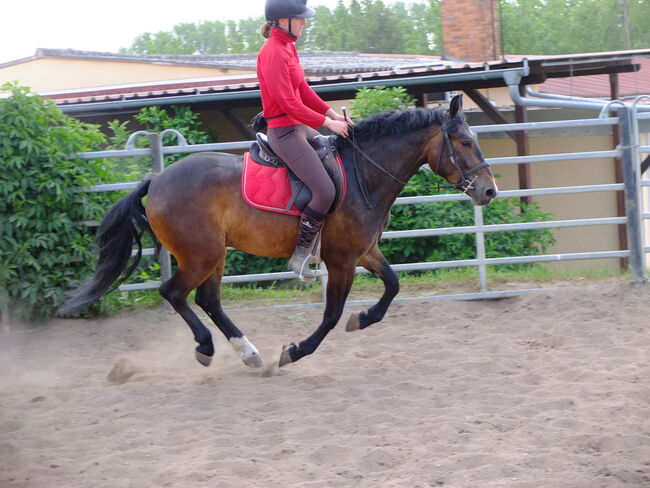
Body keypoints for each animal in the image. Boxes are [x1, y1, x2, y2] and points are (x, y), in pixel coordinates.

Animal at [59, 94, 496, 370]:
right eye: (464, 142)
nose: (489, 191)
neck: (364, 175)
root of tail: (158, 180)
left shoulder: (363, 252)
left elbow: (392, 286)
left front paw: (363, 318)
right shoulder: (341, 261)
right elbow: (332, 315)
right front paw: (296, 351)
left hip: (214, 255)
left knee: (208, 299)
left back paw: (247, 353)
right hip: (200, 254)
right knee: (174, 293)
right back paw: (208, 347)